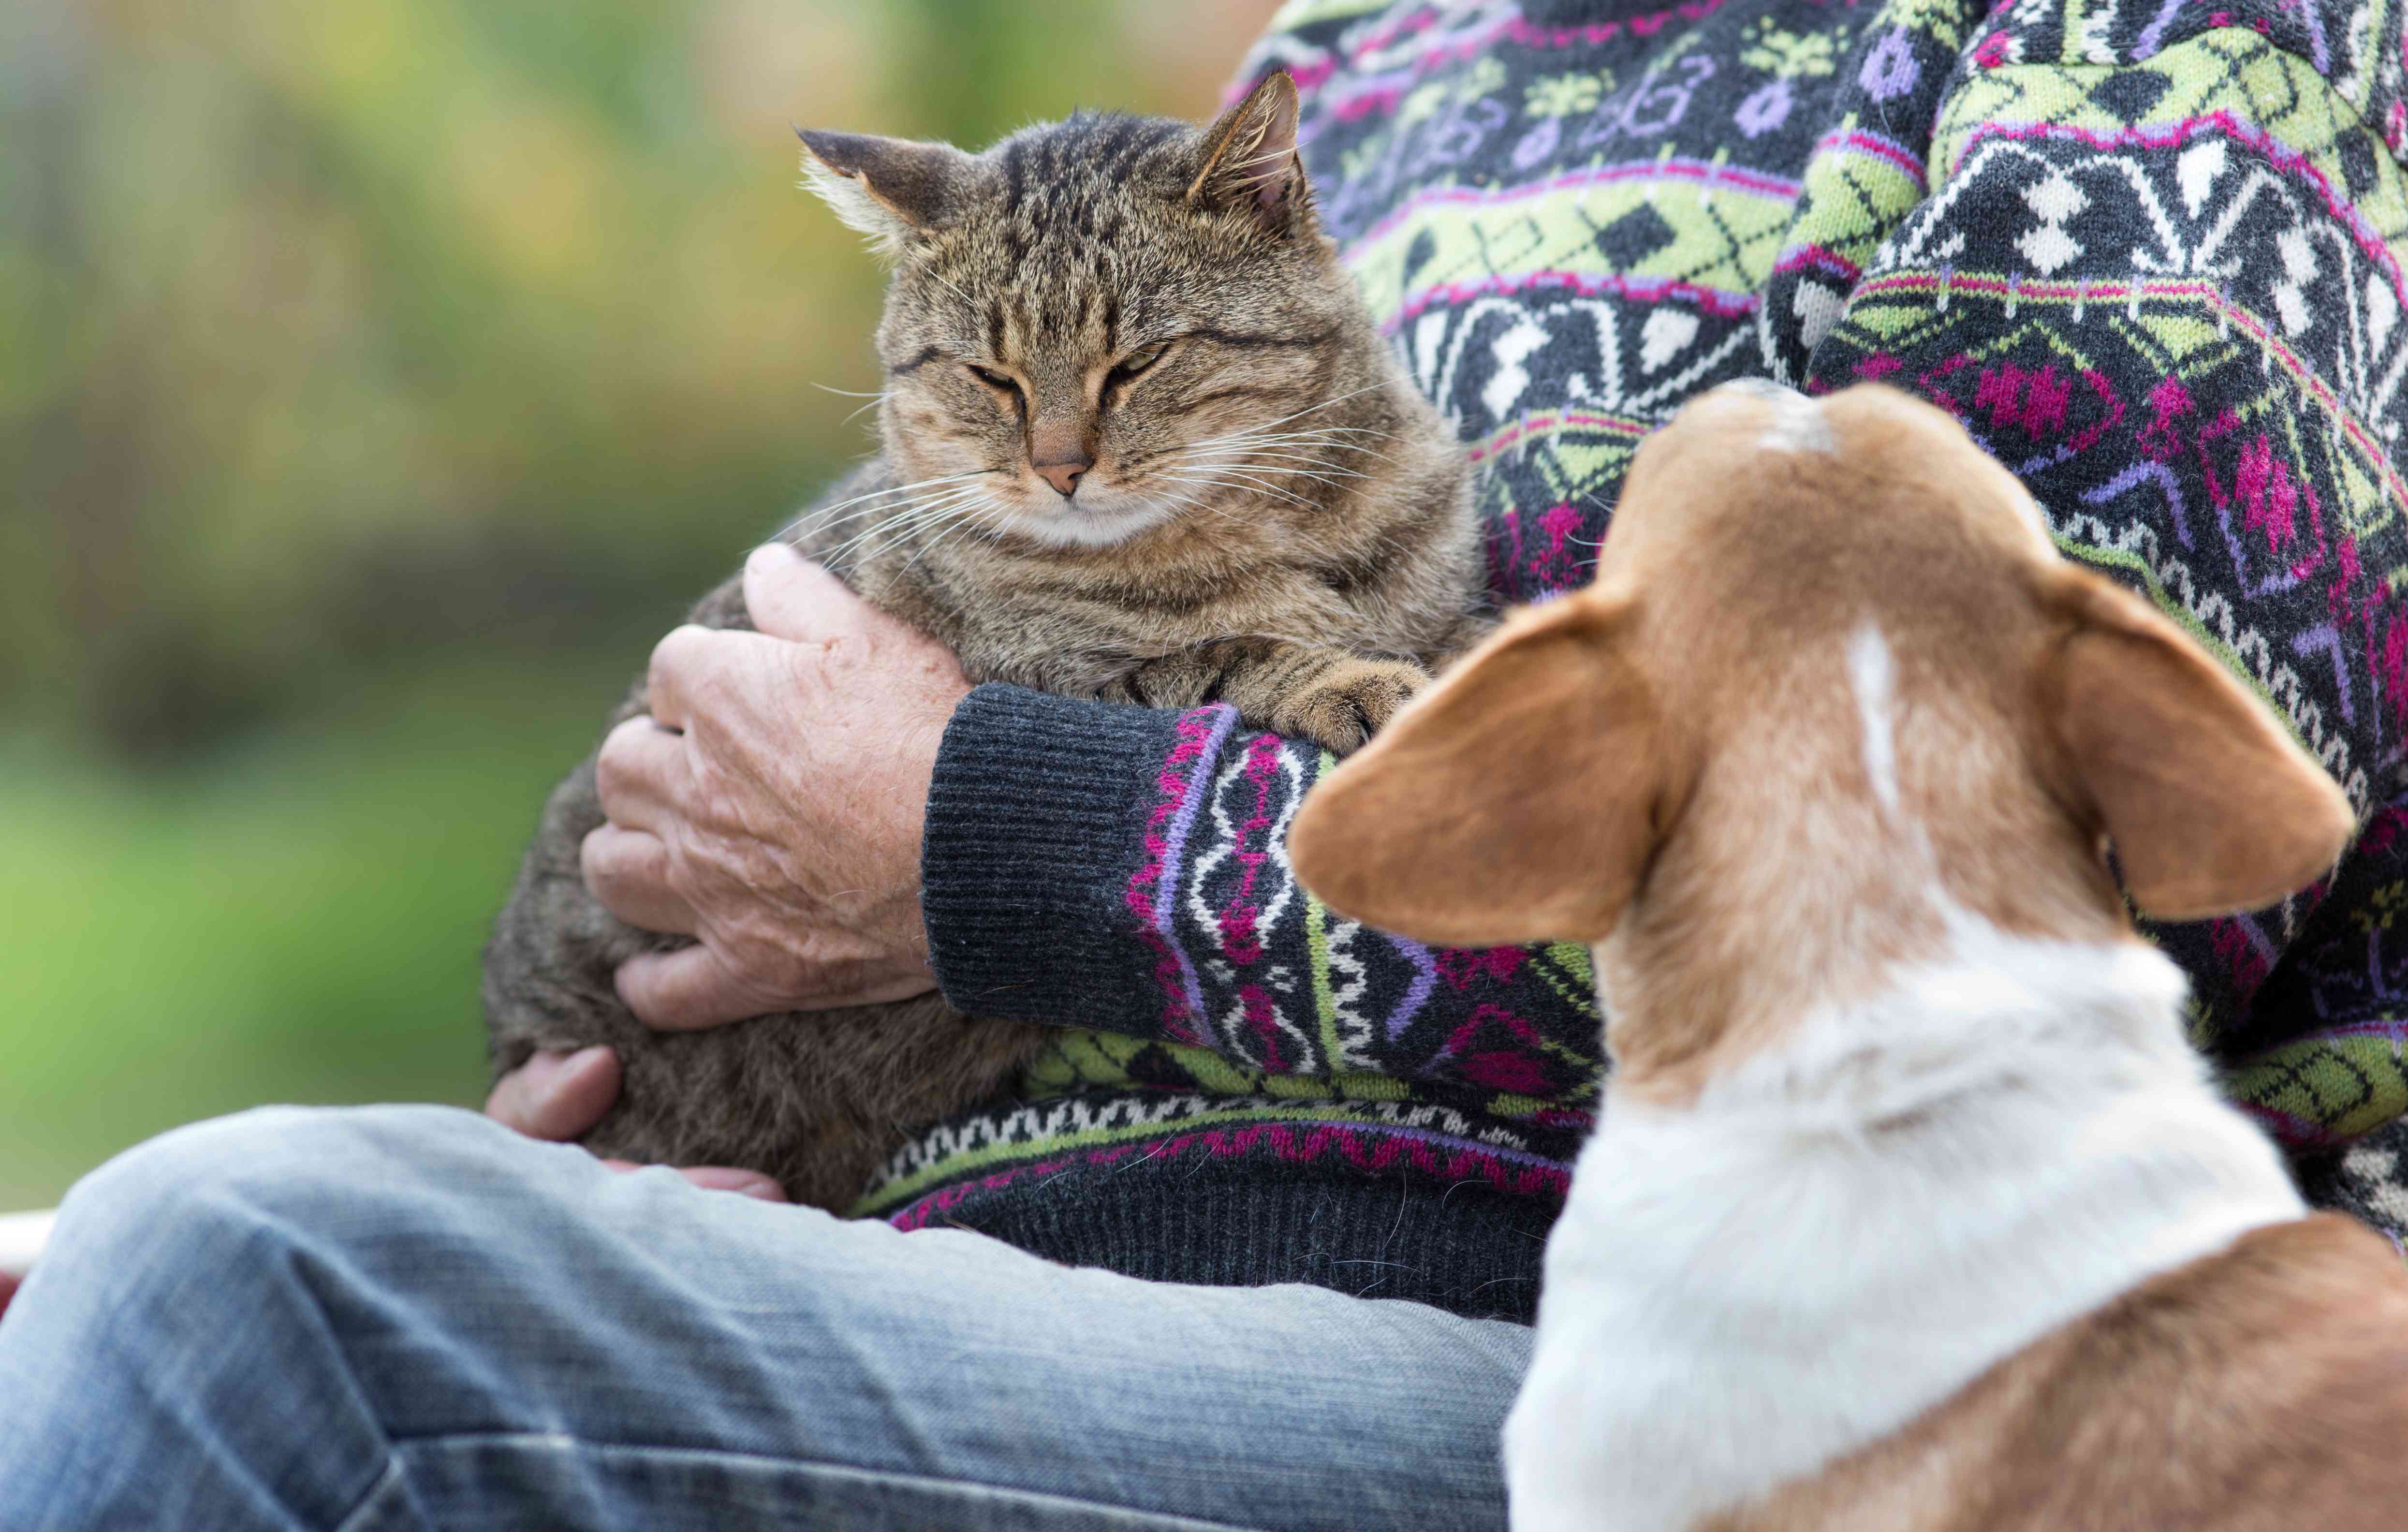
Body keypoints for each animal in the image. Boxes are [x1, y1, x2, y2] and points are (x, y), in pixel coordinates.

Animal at [482, 74, 1493, 1209]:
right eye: (991, 376)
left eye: (1138, 362)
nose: (1060, 469)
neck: (1277, 525)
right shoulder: (1057, 679)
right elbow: (1229, 653)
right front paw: (1352, 675)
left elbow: (1458, 627)